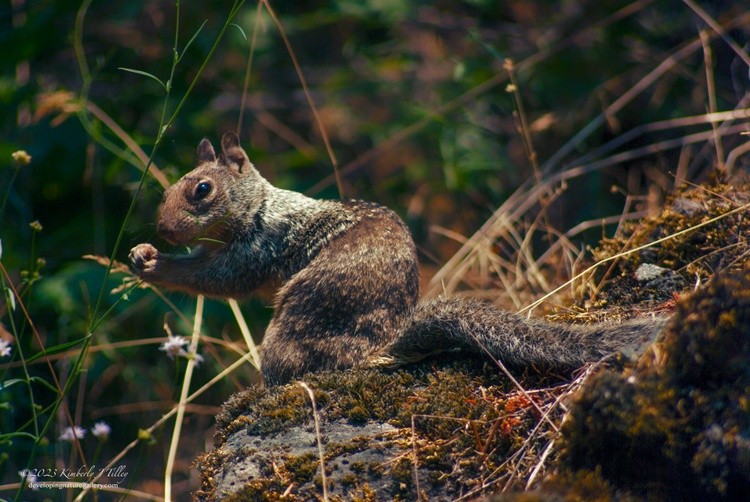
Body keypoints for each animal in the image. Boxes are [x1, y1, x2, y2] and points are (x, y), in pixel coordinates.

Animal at [131, 131, 668, 386]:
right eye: (168, 188)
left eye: (202, 189)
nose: (162, 229)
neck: (262, 205)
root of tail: (382, 343)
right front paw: (141, 252)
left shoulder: (258, 248)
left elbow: (218, 279)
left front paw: (155, 264)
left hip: (296, 325)